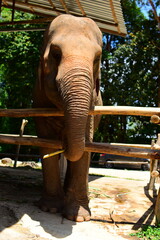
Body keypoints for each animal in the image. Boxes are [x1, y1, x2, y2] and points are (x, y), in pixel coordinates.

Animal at [33, 14, 102, 222]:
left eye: (97, 58)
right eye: (56, 54)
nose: (64, 141)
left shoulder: (92, 105)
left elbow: (86, 143)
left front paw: (79, 218)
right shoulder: (39, 101)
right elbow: (46, 142)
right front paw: (50, 209)